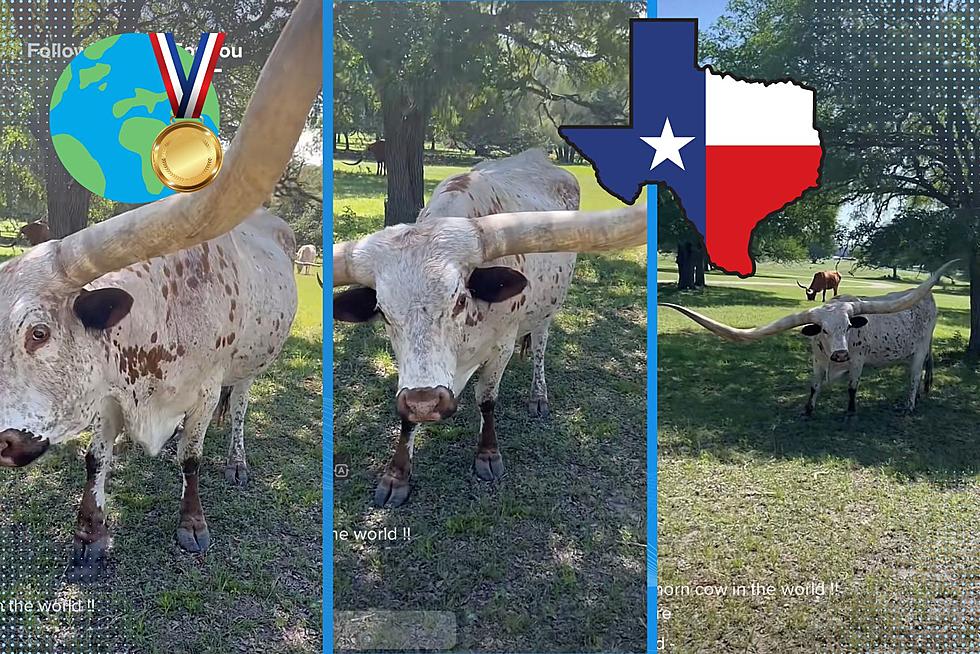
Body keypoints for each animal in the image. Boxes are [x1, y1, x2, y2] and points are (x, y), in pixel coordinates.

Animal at [0, 0, 322, 584]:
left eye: (38, 333)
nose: (3, 443)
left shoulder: (204, 387)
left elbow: (195, 454)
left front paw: (192, 524)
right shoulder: (107, 391)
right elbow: (95, 460)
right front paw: (89, 534)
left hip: (252, 363)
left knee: (240, 407)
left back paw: (235, 460)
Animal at [334, 151, 648, 510]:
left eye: (459, 299)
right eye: (383, 313)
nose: (426, 403)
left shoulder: (502, 347)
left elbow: (486, 399)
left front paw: (487, 455)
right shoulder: (411, 371)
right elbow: (406, 413)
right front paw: (396, 475)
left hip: (547, 311)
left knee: (539, 346)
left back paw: (538, 396)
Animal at [664, 260, 952, 418]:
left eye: (849, 326)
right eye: (823, 330)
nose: (840, 354)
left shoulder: (857, 360)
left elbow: (852, 387)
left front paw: (850, 411)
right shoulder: (817, 359)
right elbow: (814, 385)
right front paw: (807, 410)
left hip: (920, 346)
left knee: (913, 375)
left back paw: (910, 404)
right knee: (927, 366)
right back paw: (925, 390)